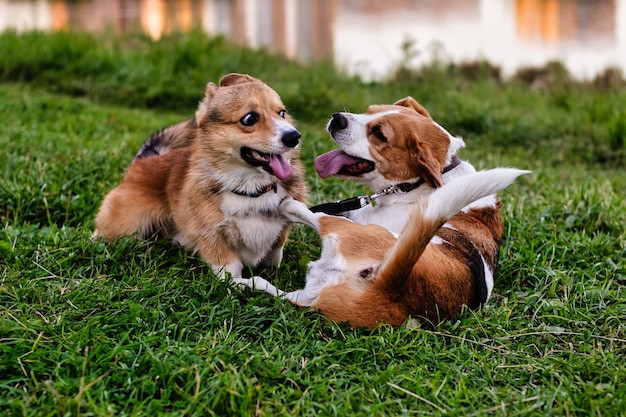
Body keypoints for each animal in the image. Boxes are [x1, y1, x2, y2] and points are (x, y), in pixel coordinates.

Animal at [94, 73, 306, 278]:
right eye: (249, 118)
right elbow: (242, 277)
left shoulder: (276, 245)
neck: (250, 190)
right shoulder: (223, 259)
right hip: (125, 228)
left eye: (282, 113)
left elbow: (275, 254)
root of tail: (144, 160)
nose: (294, 136)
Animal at [234, 167, 528, 326]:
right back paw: (244, 283)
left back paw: (286, 207)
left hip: (352, 231)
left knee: (313, 216)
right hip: (310, 300)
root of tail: (392, 287)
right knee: (272, 289)